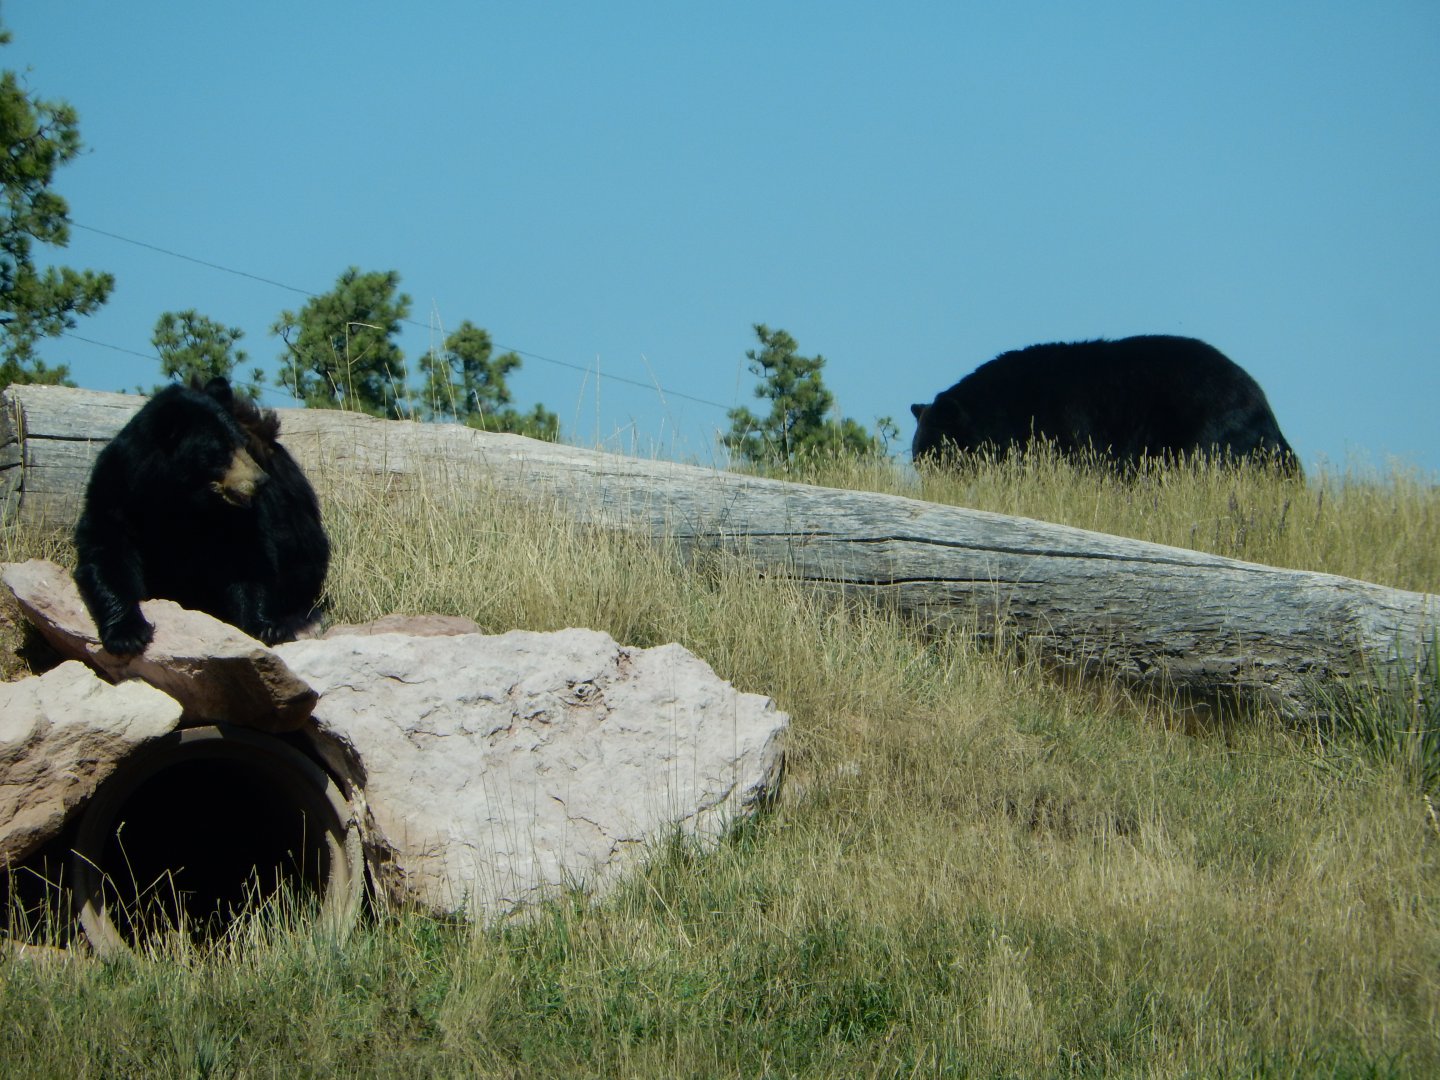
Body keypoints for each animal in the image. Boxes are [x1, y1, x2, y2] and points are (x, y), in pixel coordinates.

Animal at [73, 377, 330, 655]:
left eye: (242, 444)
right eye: (222, 450)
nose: (260, 481)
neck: (181, 499)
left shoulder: (238, 517)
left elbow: (248, 558)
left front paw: (267, 628)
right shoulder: (116, 492)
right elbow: (106, 552)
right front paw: (128, 635)